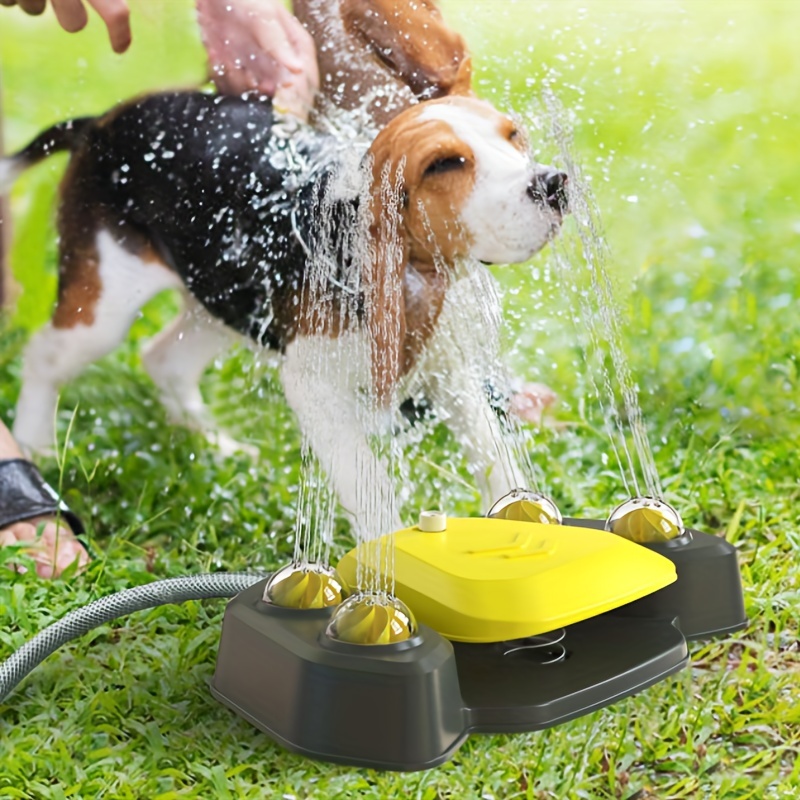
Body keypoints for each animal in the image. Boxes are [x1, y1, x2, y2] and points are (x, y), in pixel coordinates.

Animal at [3, 94, 564, 536]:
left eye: (514, 136)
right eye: (443, 164)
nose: (554, 183)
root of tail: (100, 123)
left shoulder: (450, 373)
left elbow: (495, 454)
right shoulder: (313, 386)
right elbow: (369, 481)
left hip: (224, 296)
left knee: (163, 359)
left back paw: (214, 443)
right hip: (106, 303)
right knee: (44, 355)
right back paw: (35, 445)